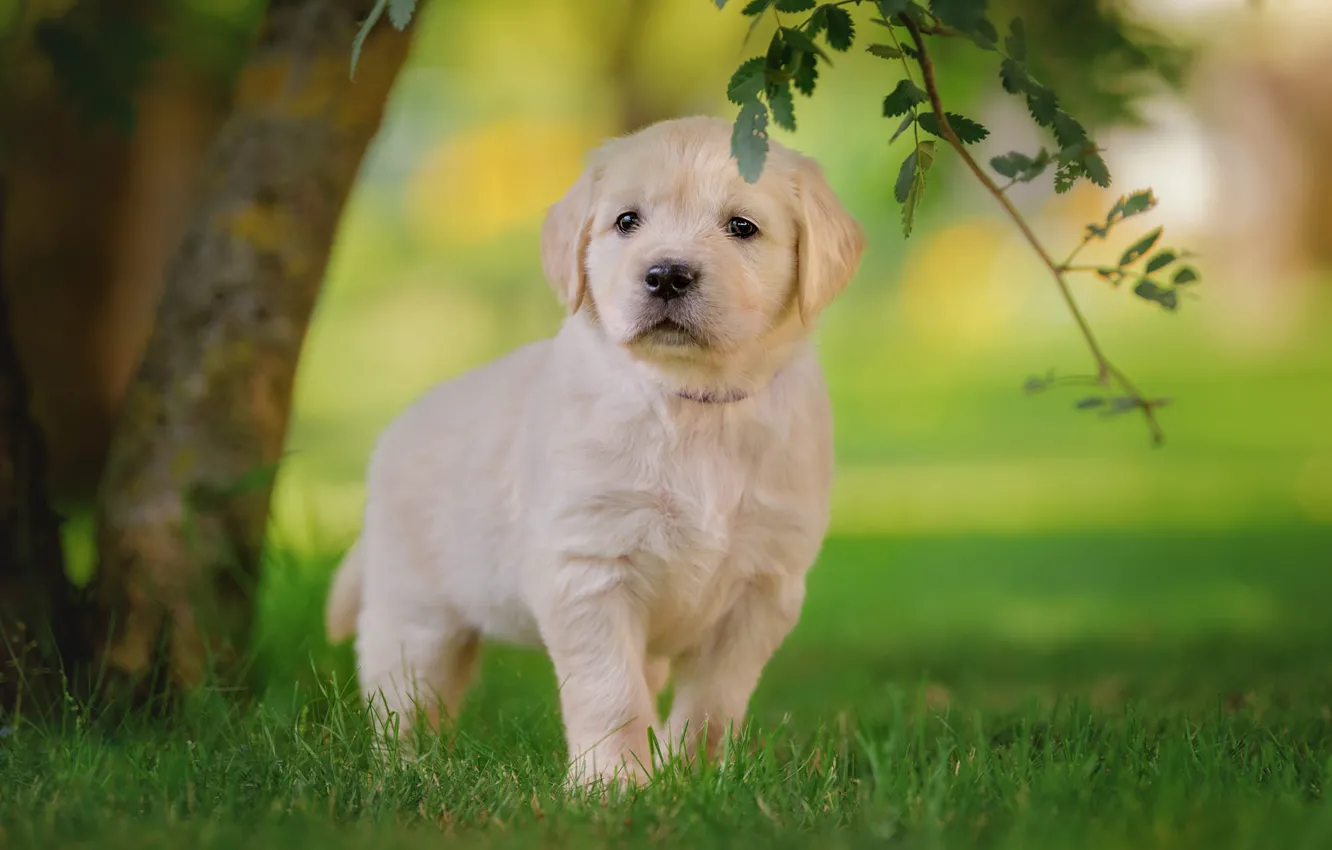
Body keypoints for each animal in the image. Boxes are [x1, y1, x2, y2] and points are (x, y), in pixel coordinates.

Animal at [322, 116, 863, 788]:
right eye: (627, 221)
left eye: (742, 226)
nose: (666, 274)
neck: (692, 402)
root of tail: (396, 429)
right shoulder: (589, 567)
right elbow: (610, 692)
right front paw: (613, 784)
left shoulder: (762, 586)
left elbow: (714, 700)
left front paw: (692, 777)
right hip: (413, 616)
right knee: (404, 702)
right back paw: (406, 774)